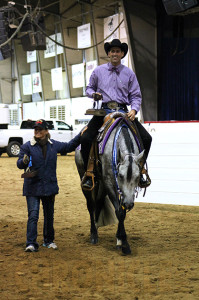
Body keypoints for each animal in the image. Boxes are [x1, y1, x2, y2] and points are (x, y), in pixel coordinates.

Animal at [75, 113, 144, 255]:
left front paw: (120, 240)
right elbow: (119, 212)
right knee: (91, 205)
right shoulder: (109, 182)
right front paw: (125, 245)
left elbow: (122, 212)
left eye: (137, 176)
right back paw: (93, 234)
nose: (129, 204)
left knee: (99, 202)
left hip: (101, 184)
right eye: (120, 176)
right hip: (85, 179)